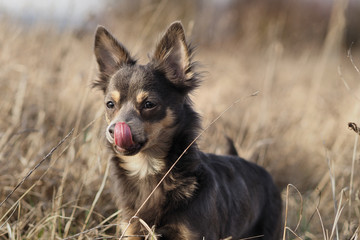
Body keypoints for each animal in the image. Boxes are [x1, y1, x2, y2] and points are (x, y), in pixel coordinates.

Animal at [92, 21, 282, 239]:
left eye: (149, 104)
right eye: (110, 104)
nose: (114, 129)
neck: (147, 168)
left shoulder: (194, 233)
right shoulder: (131, 229)